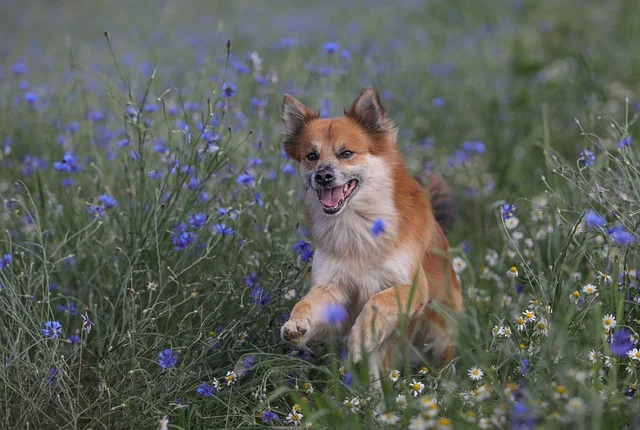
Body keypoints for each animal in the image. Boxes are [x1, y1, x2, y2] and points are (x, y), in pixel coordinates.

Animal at [278, 88, 460, 382]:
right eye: (311, 156)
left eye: (346, 153)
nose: (323, 176)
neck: (357, 226)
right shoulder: (333, 287)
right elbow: (307, 303)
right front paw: (296, 323)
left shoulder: (412, 287)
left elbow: (377, 301)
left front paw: (362, 336)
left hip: (437, 333)